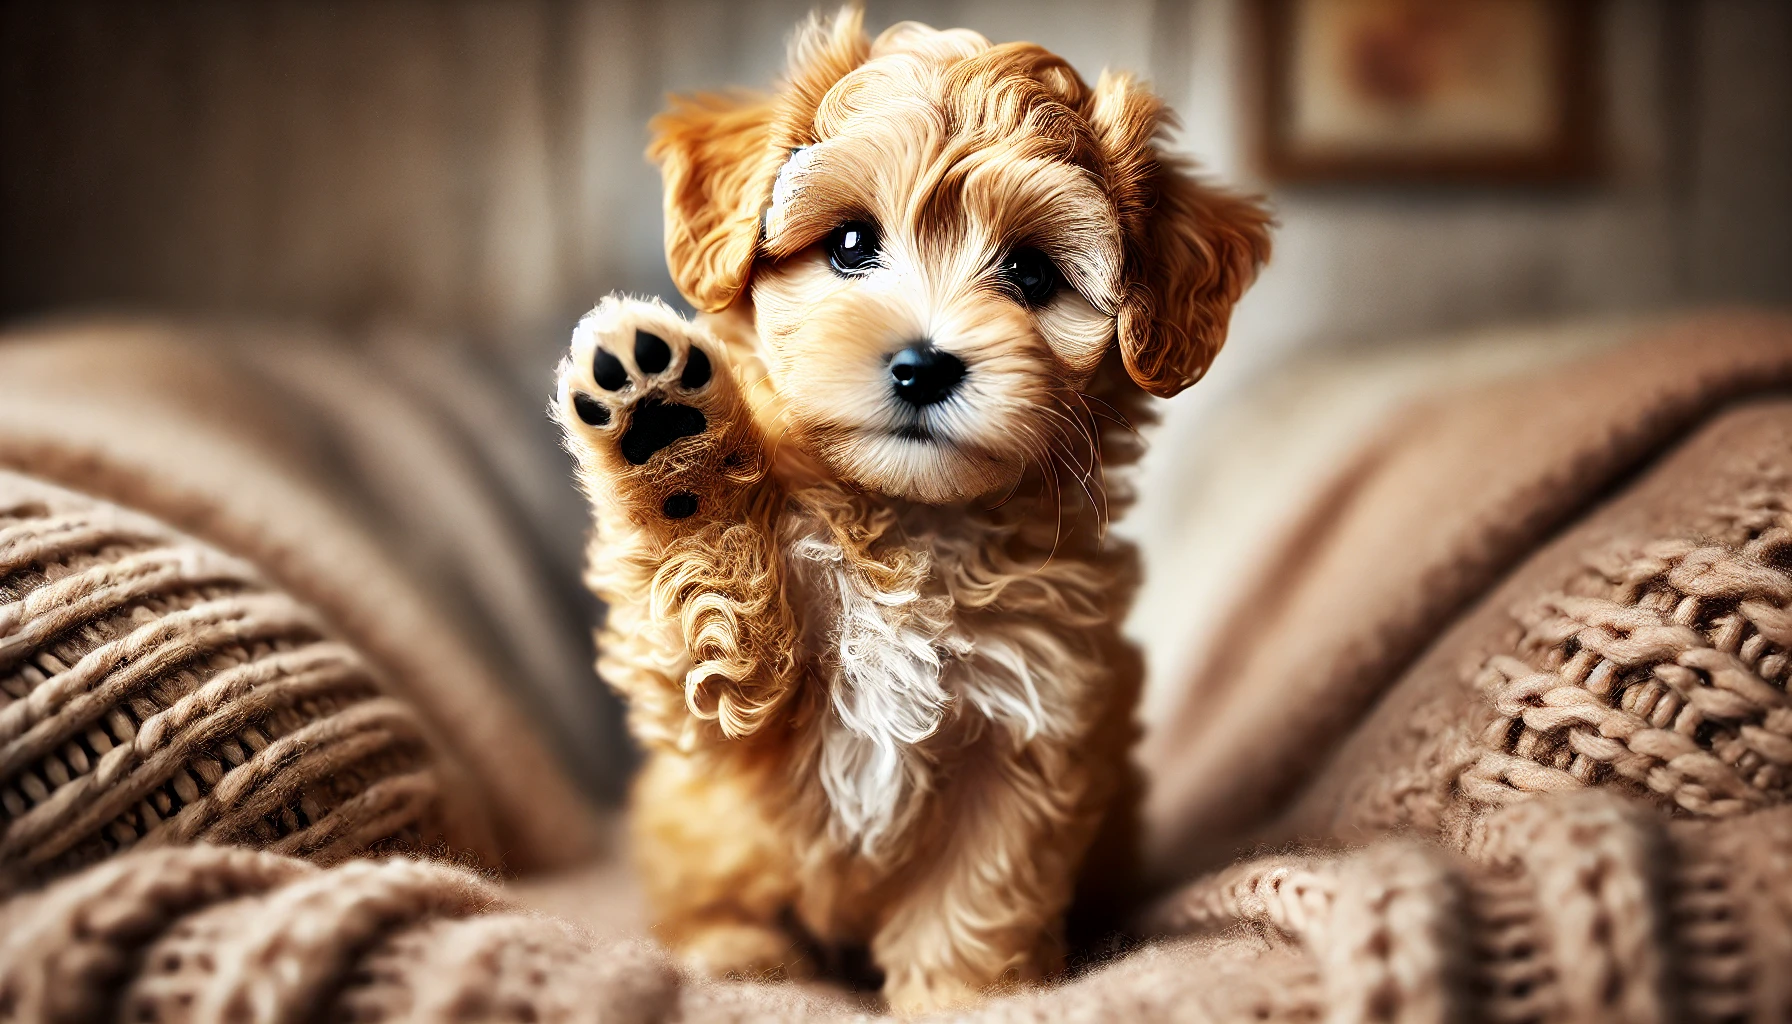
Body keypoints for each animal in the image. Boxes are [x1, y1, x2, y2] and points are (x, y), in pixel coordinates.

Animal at [551, 10, 1268, 1018]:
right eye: (851, 244)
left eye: (1031, 273)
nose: (923, 366)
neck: (911, 524)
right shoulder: (725, 720)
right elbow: (708, 625)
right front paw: (667, 440)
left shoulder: (1033, 726)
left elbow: (975, 890)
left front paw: (958, 996)